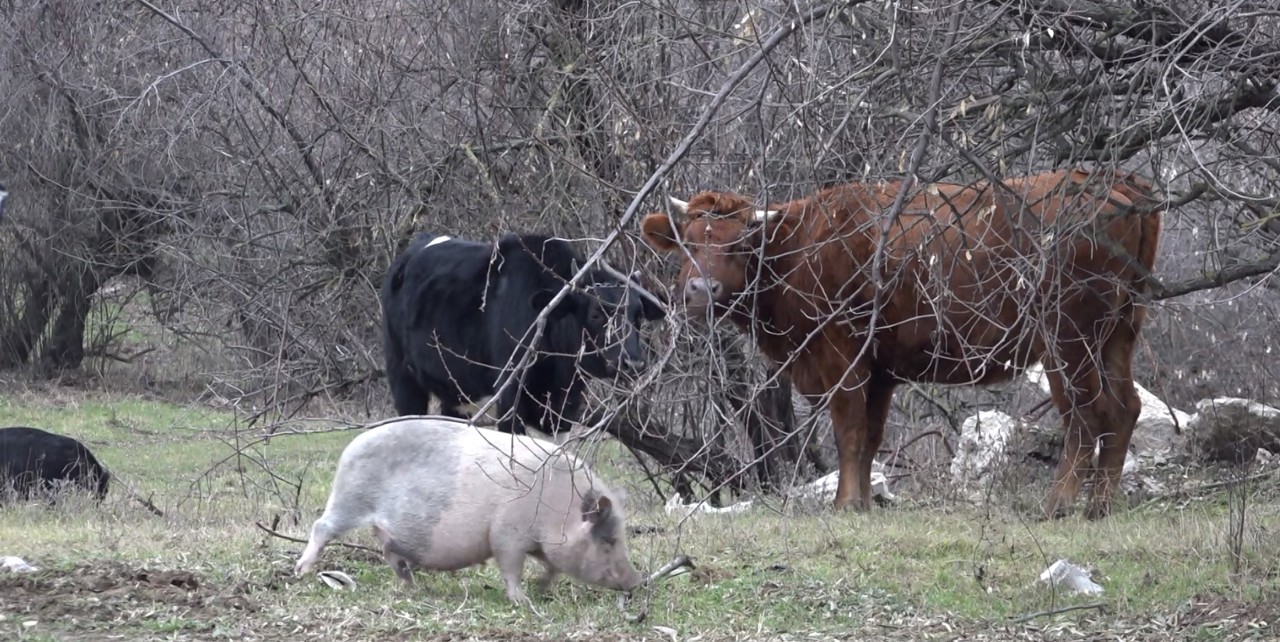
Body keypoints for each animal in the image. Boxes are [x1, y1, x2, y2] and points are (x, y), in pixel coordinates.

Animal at [294, 419, 645, 603]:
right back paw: (302, 571)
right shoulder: (506, 534)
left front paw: (542, 589)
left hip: (391, 530)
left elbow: (552, 568)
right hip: (350, 500)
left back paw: (412, 586)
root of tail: (350, 447)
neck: (558, 510)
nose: (637, 581)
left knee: (390, 553)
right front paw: (523, 600)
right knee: (321, 527)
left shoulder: (542, 546)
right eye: (609, 541)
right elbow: (510, 567)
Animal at [378, 230, 665, 437]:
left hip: (457, 392)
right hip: (402, 377)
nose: (633, 362)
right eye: (596, 314)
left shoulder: (562, 412)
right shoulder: (510, 401)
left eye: (638, 315)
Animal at [645, 167, 1167, 519]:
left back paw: (1058, 504)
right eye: (687, 242)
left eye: (738, 246)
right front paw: (863, 501)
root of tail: (1113, 181)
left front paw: (845, 504)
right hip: (1118, 335)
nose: (700, 290)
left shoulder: (843, 356)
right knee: (1124, 408)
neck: (802, 247)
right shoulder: (881, 370)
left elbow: (849, 431)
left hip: (1067, 340)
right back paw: (1099, 506)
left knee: (1086, 415)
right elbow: (871, 436)